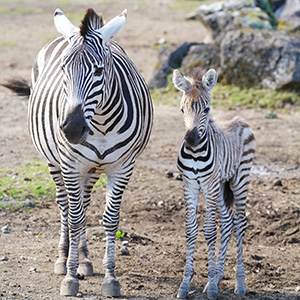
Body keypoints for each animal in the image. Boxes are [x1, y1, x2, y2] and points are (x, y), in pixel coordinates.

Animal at [1, 7, 152, 298]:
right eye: (63, 69)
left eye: (99, 70)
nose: (71, 128)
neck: (101, 122)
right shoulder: (71, 165)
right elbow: (74, 217)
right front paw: (70, 278)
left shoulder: (123, 167)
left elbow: (109, 220)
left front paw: (111, 277)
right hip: (55, 162)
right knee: (65, 205)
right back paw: (64, 259)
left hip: (91, 169)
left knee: (83, 203)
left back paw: (84, 259)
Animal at [173, 69, 255, 298]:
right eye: (182, 109)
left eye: (206, 109)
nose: (191, 140)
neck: (196, 153)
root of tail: (238, 116)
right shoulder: (189, 184)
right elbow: (190, 230)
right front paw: (186, 285)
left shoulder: (209, 185)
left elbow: (209, 231)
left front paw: (210, 286)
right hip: (221, 185)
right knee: (227, 221)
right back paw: (218, 277)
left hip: (239, 180)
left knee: (240, 223)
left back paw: (239, 283)